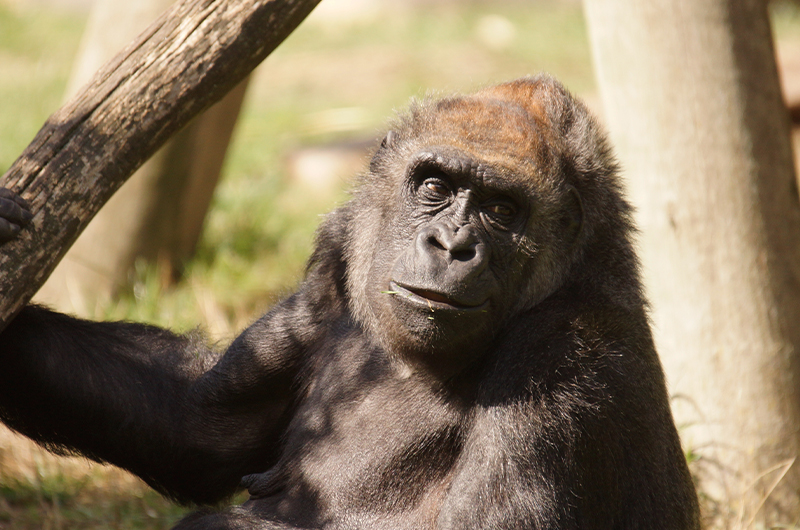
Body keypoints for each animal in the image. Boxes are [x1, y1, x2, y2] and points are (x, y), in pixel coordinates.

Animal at [0, 75, 700, 528]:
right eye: (435, 186)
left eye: (503, 211)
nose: (453, 245)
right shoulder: (335, 256)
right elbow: (196, 427)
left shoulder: (563, 347)